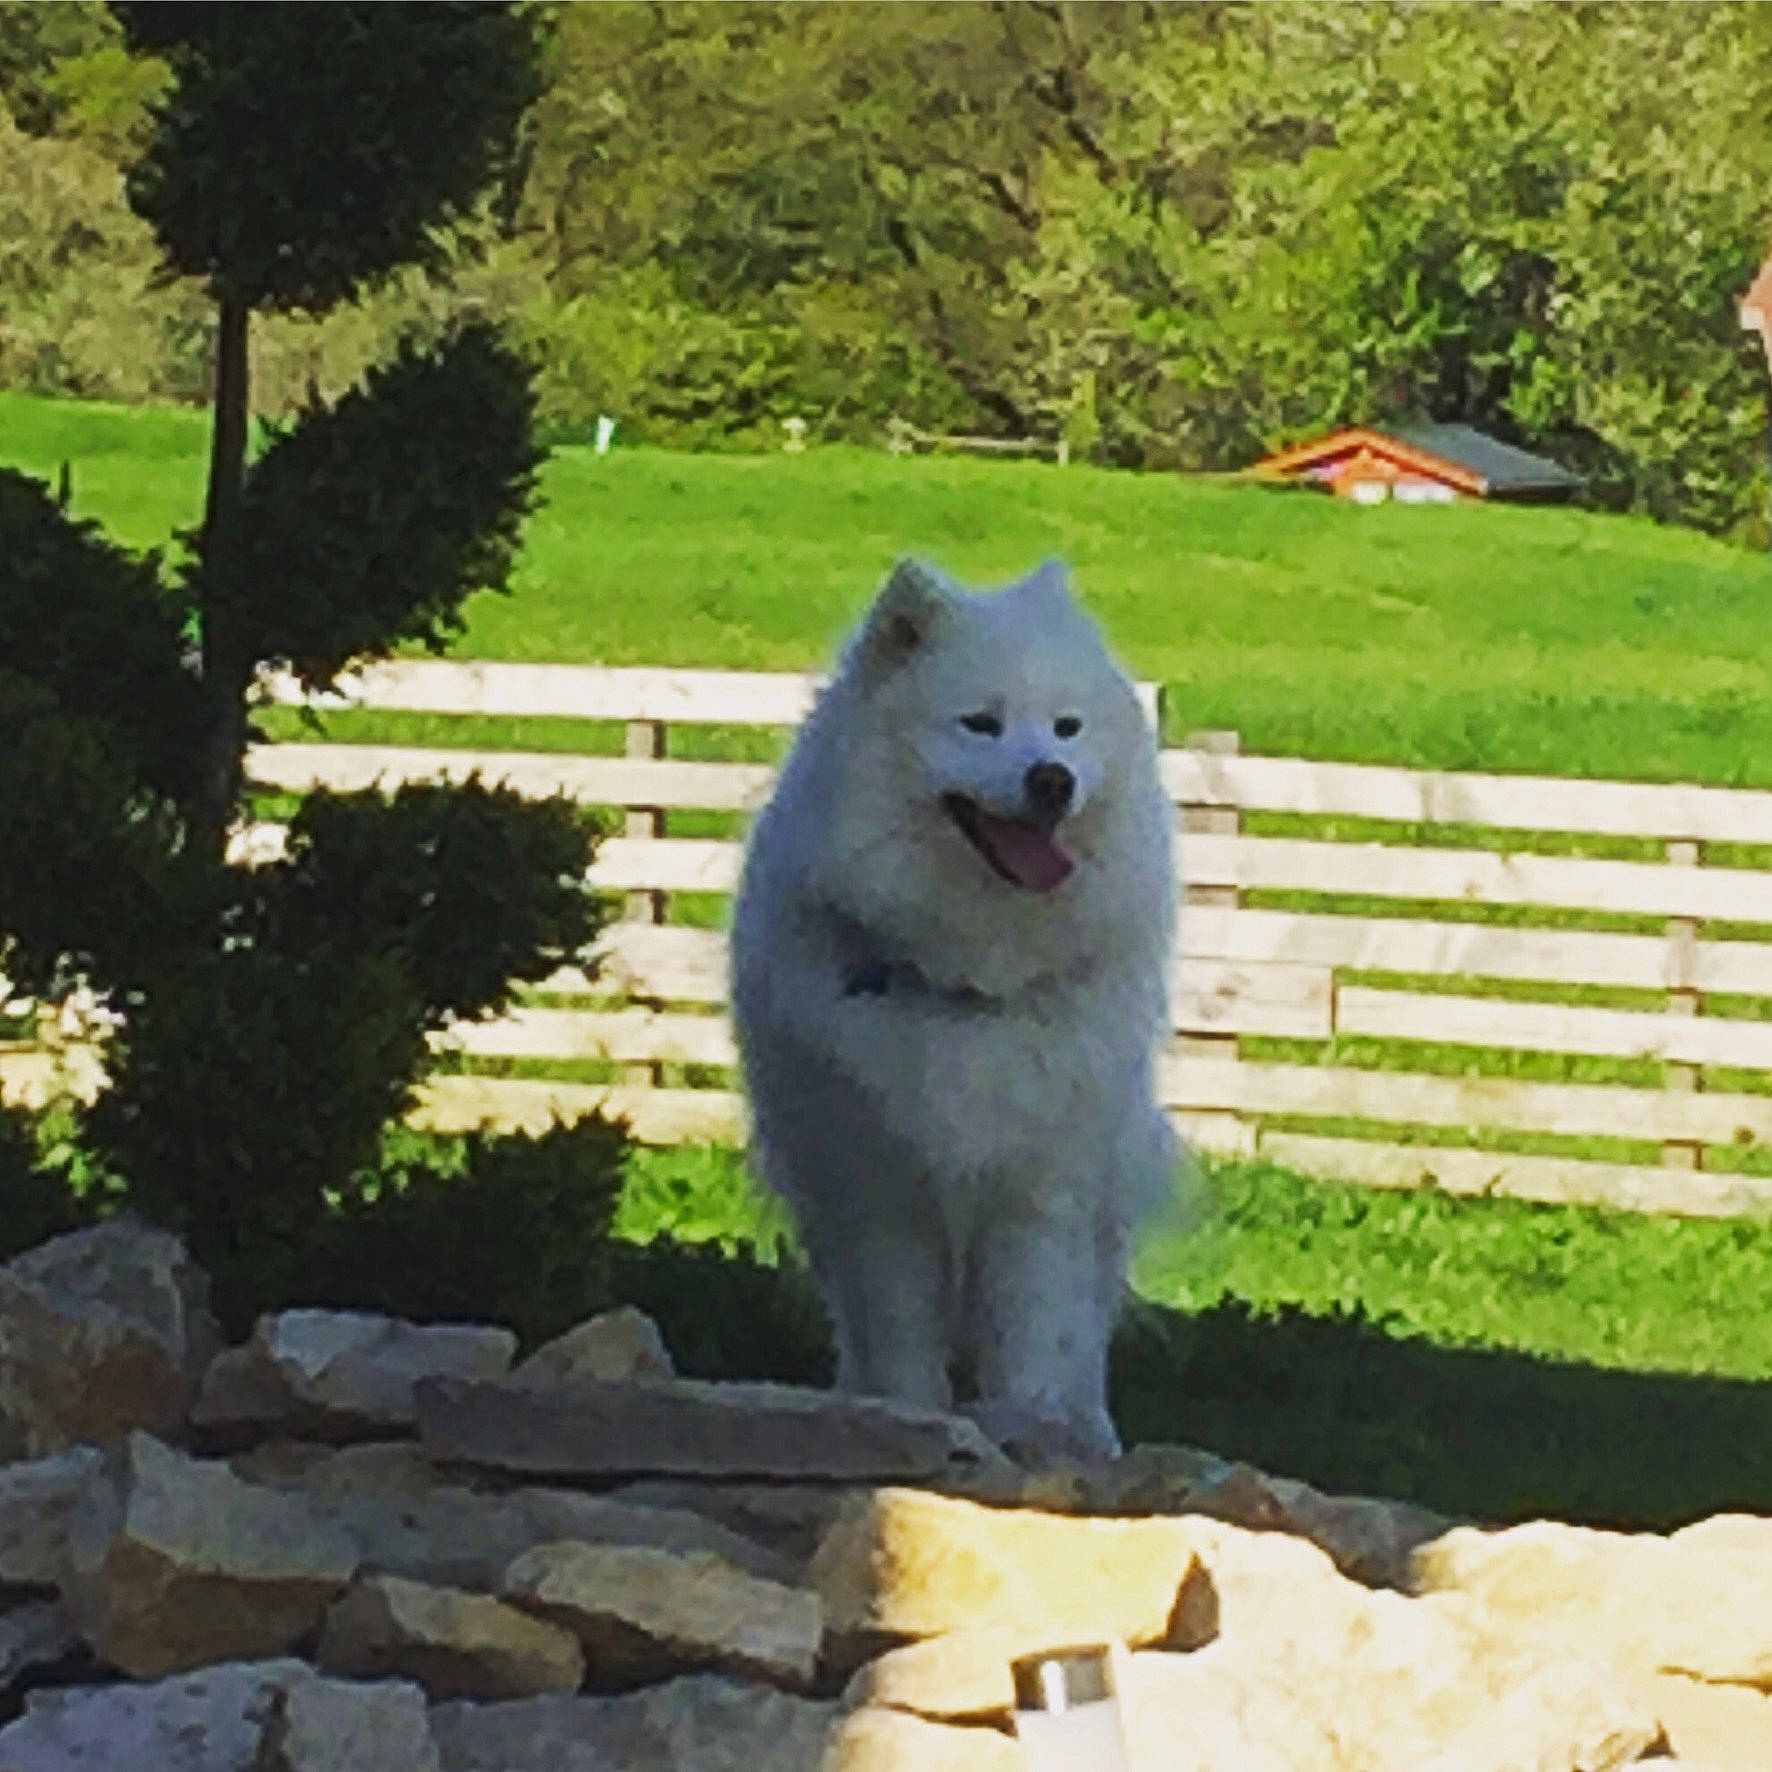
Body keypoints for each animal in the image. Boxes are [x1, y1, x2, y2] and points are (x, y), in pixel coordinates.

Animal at [729, 557, 1179, 1460]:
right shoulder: (881, 1187)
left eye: (1067, 729)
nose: (1051, 780)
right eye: (980, 724)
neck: (973, 982)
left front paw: (1039, 1431)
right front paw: (902, 1419)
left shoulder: (1042, 1188)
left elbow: (1042, 1326)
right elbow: (899, 1331)